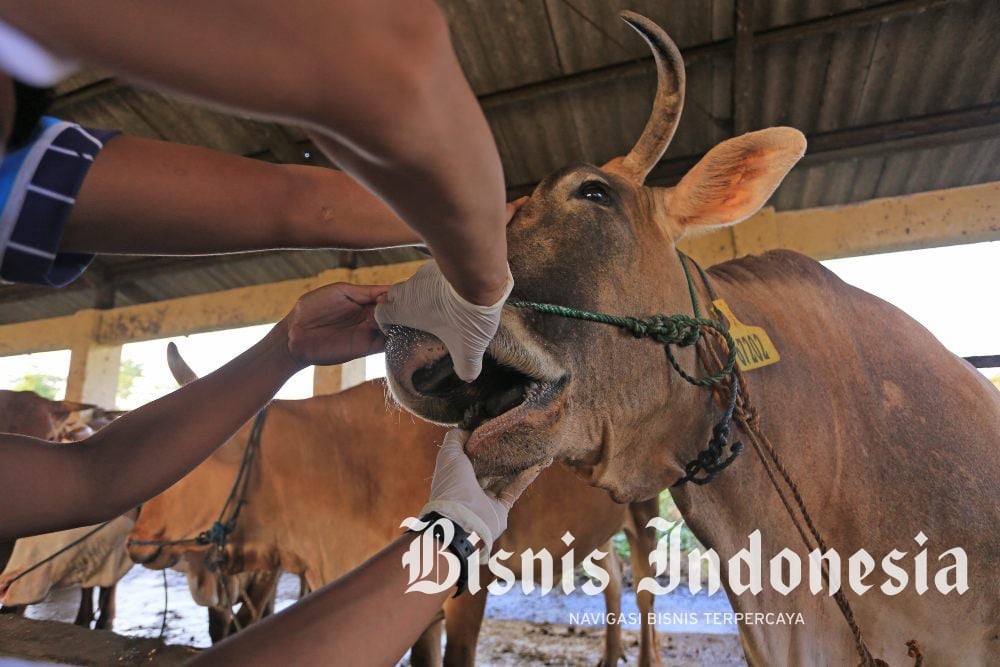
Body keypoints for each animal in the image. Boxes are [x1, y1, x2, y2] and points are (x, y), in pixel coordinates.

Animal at [131, 348, 664, 664]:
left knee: (643, 584)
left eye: (192, 460)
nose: (136, 540)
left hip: (644, 508)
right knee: (613, 576)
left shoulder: (469, 585)